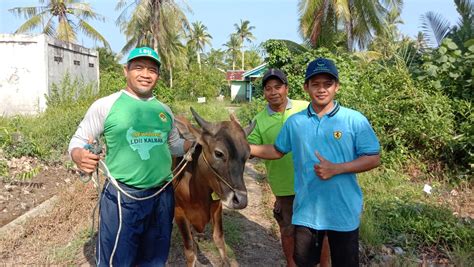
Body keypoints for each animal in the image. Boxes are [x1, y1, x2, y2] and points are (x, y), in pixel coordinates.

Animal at [173, 108, 256, 266]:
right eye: (218, 153)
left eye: (247, 156)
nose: (241, 200)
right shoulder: (179, 211)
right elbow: (189, 251)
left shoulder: (217, 206)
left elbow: (219, 240)